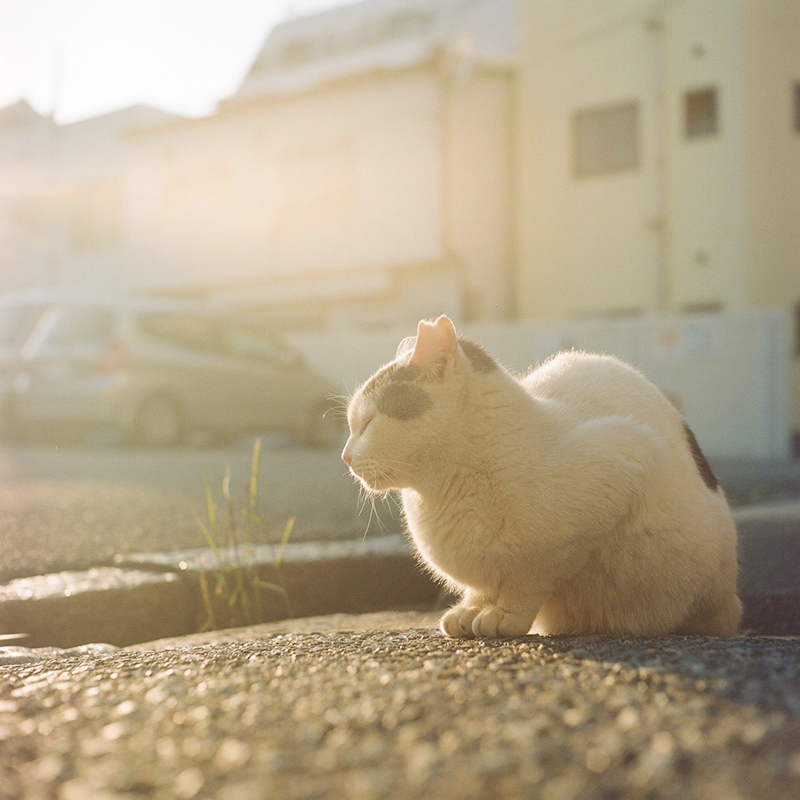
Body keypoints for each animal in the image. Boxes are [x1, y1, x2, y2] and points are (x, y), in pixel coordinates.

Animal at [344, 318, 744, 636]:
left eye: (367, 422)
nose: (345, 457)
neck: (443, 490)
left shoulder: (626, 459)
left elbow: (528, 580)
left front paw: (504, 615)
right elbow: (482, 588)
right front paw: (471, 610)